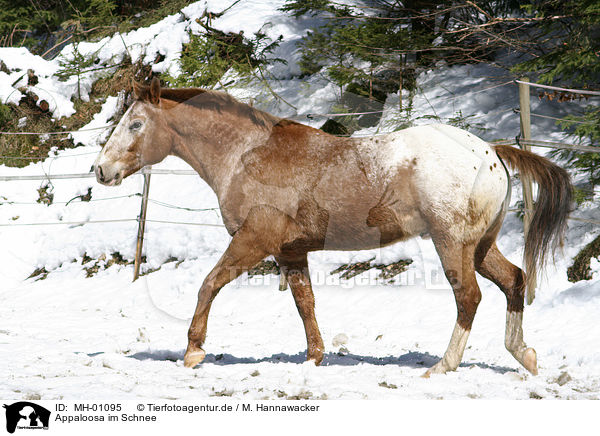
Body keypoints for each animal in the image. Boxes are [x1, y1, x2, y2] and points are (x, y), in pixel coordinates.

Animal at [94, 77, 572, 374]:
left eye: (135, 123)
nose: (101, 170)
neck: (246, 155)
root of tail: (490, 151)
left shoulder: (254, 240)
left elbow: (209, 284)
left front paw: (194, 351)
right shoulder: (290, 251)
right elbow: (305, 303)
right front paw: (314, 358)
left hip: (451, 243)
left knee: (468, 297)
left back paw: (443, 365)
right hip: (480, 245)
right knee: (514, 280)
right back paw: (524, 355)